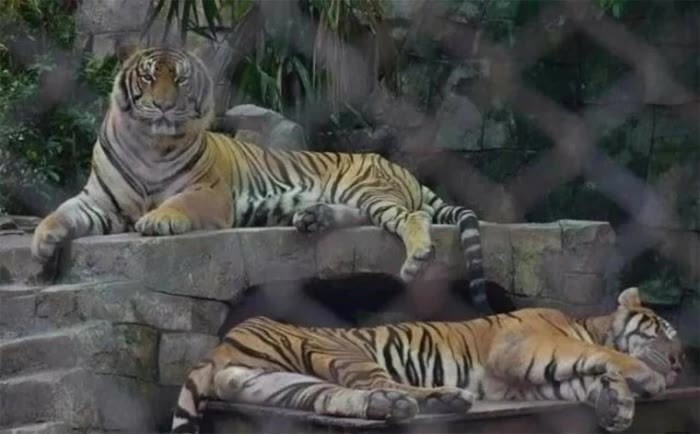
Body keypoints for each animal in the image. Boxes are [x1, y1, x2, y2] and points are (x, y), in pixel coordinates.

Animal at [30, 46, 490, 313]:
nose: (162, 106)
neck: (149, 142)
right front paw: (41, 246)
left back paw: (416, 258)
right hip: (360, 198)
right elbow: (59, 212)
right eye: (148, 77)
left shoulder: (210, 194)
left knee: (412, 217)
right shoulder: (99, 200)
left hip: (368, 188)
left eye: (179, 78)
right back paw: (312, 218)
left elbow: (179, 202)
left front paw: (158, 220)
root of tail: (400, 168)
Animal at [170, 287, 683, 433]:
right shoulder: (524, 348)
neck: (590, 323)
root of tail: (220, 344)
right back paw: (442, 400)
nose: (681, 363)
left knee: (339, 399)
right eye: (664, 332)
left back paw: (412, 406)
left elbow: (588, 378)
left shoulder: (524, 382)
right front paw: (646, 378)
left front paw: (616, 403)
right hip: (345, 353)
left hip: (276, 382)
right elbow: (599, 355)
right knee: (381, 384)